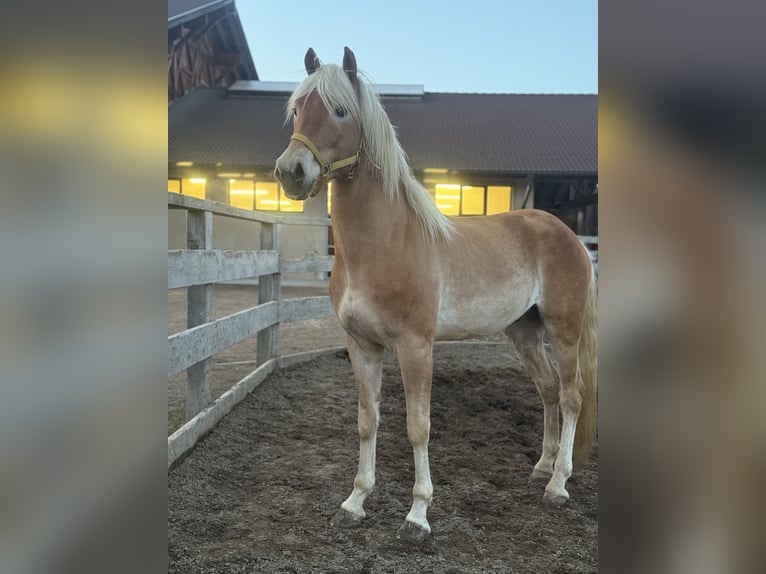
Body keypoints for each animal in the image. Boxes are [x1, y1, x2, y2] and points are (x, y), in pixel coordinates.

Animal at [276, 46, 600, 544]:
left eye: (340, 110)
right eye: (296, 109)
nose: (291, 172)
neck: (385, 242)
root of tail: (569, 235)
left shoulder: (416, 346)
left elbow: (418, 428)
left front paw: (417, 516)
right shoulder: (361, 345)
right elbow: (367, 421)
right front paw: (354, 503)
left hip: (564, 330)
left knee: (571, 396)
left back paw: (559, 485)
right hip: (523, 332)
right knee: (547, 390)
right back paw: (541, 468)